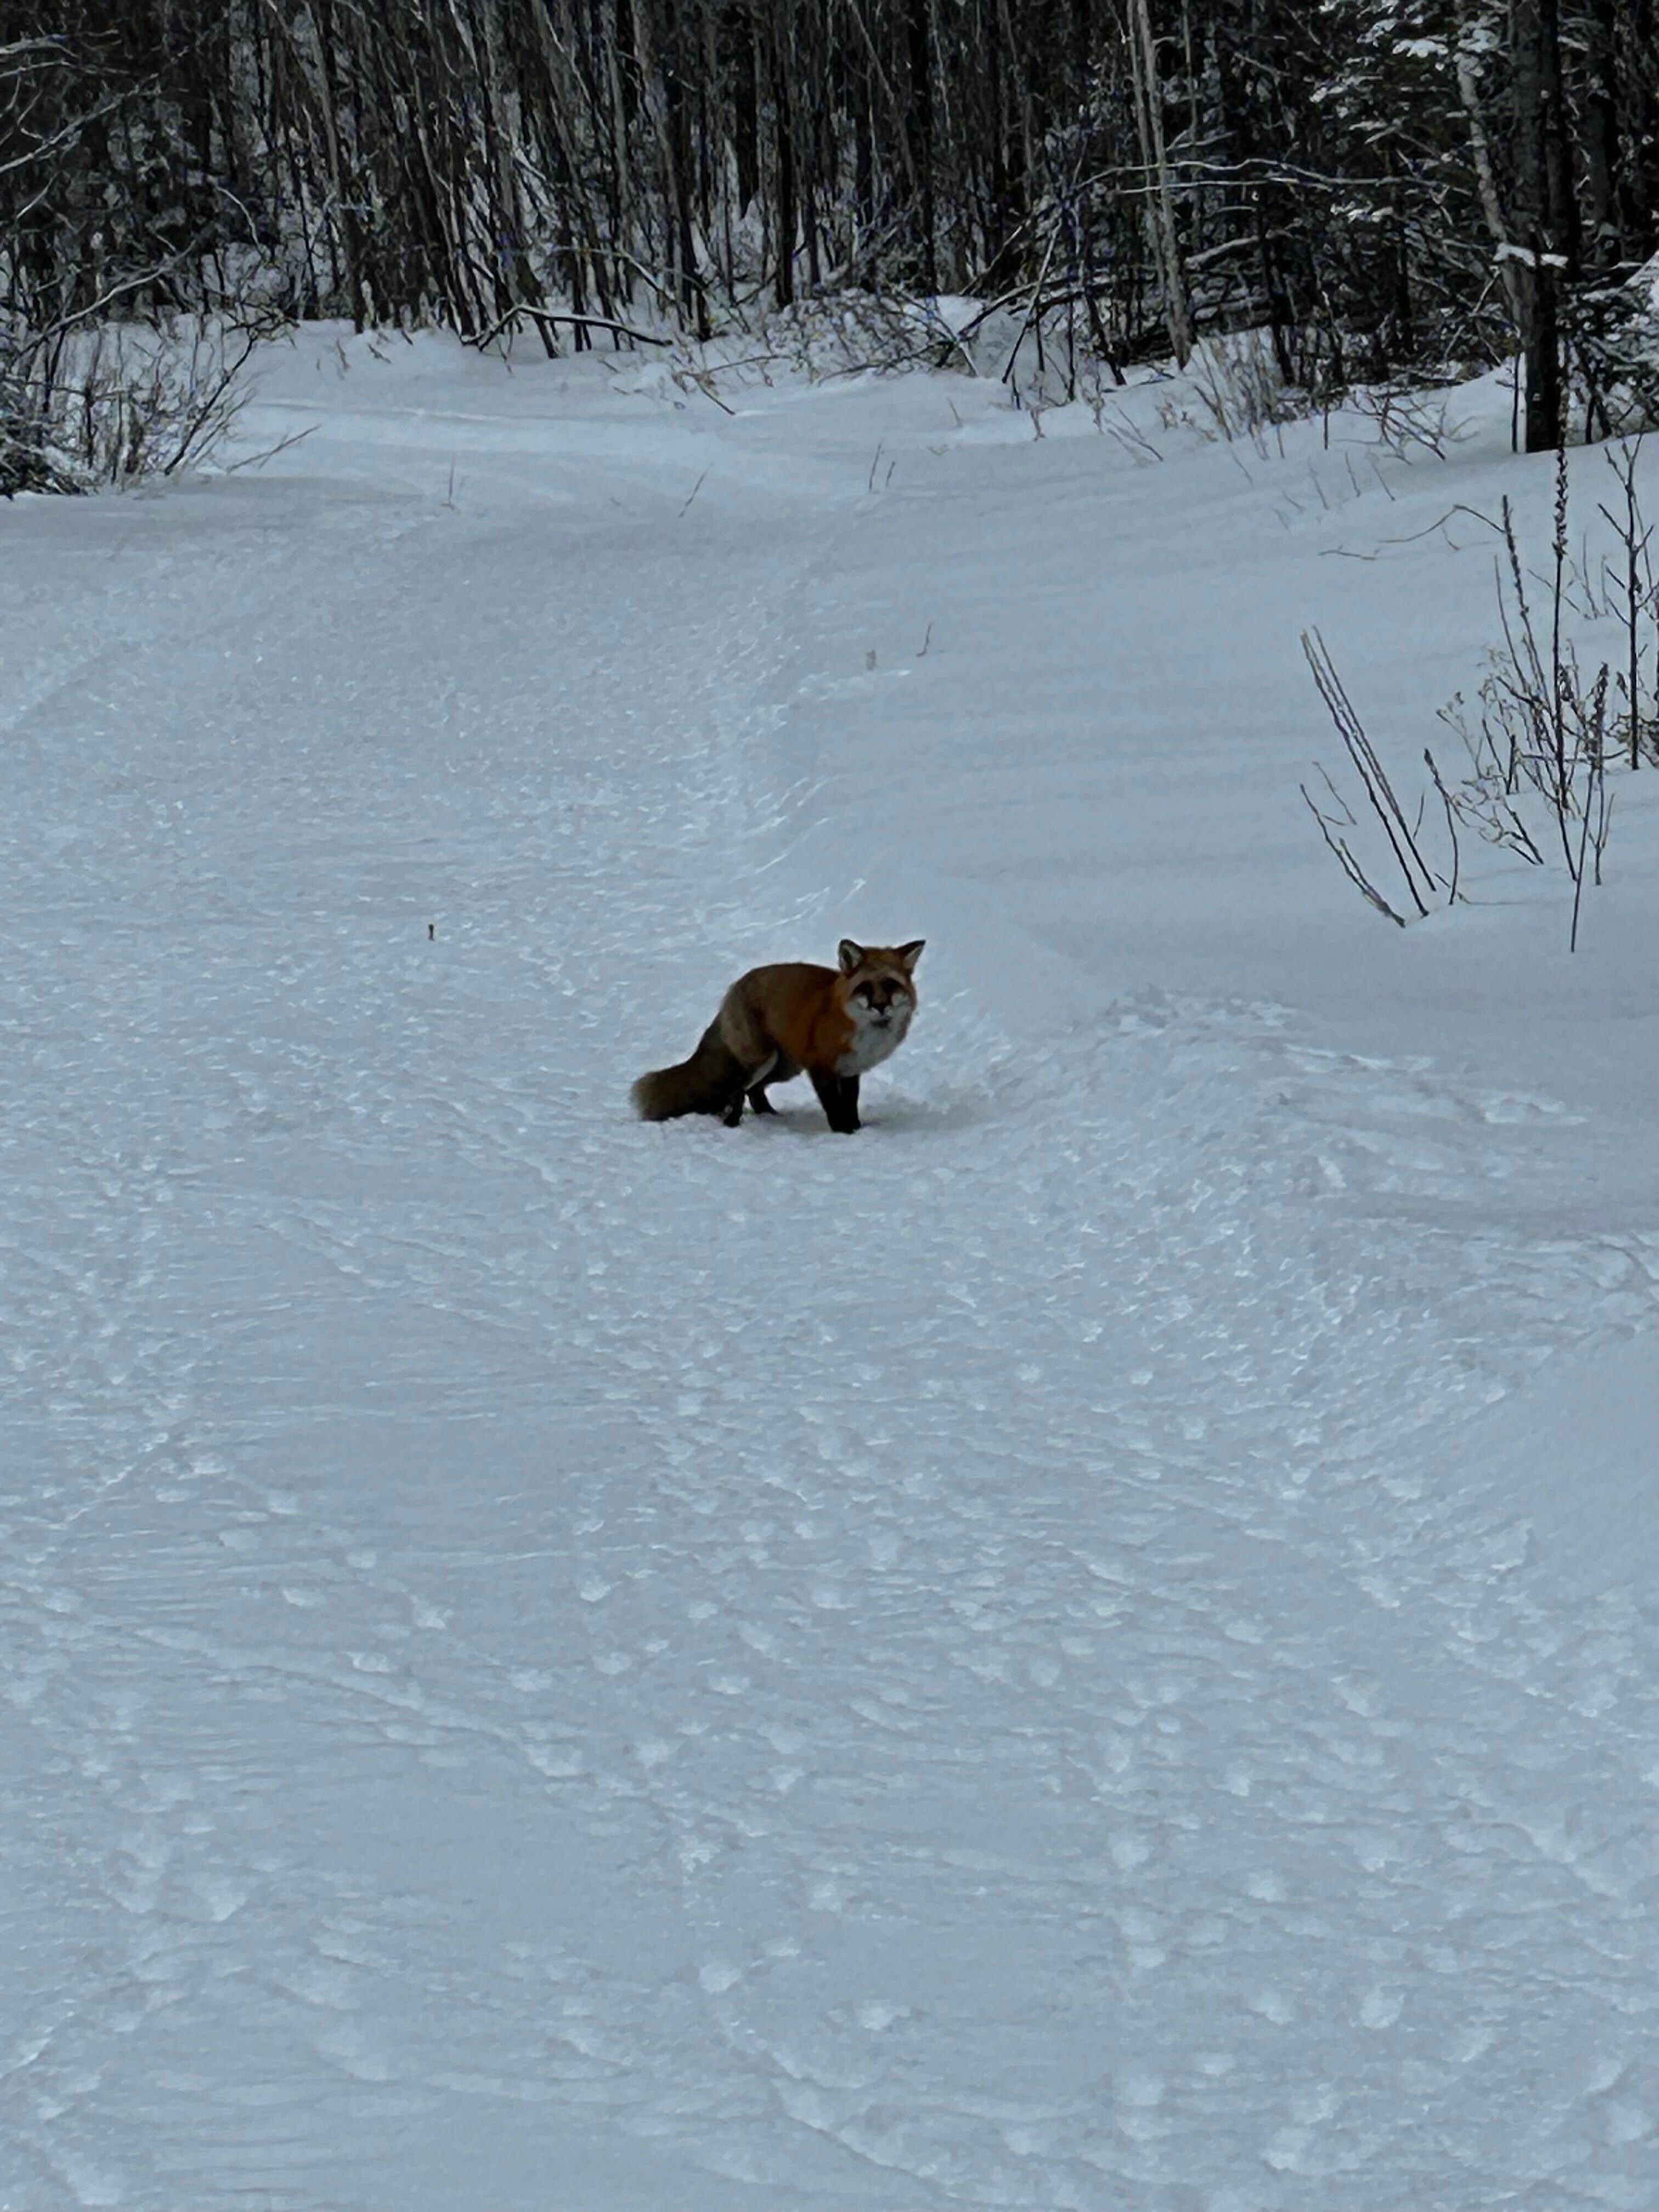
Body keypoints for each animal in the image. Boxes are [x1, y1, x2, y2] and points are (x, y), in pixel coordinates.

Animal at [632, 938, 924, 1133]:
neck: (865, 1034)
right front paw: (843, 1132)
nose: (881, 1006)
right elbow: (833, 1105)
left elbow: (850, 1104)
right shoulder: (821, 1068)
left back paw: (771, 1118)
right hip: (764, 1061)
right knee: (736, 1091)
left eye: (890, 985)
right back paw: (731, 1123)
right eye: (866, 988)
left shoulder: (851, 1070)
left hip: (785, 1067)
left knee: (754, 1092)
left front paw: (856, 1128)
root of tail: (734, 988)